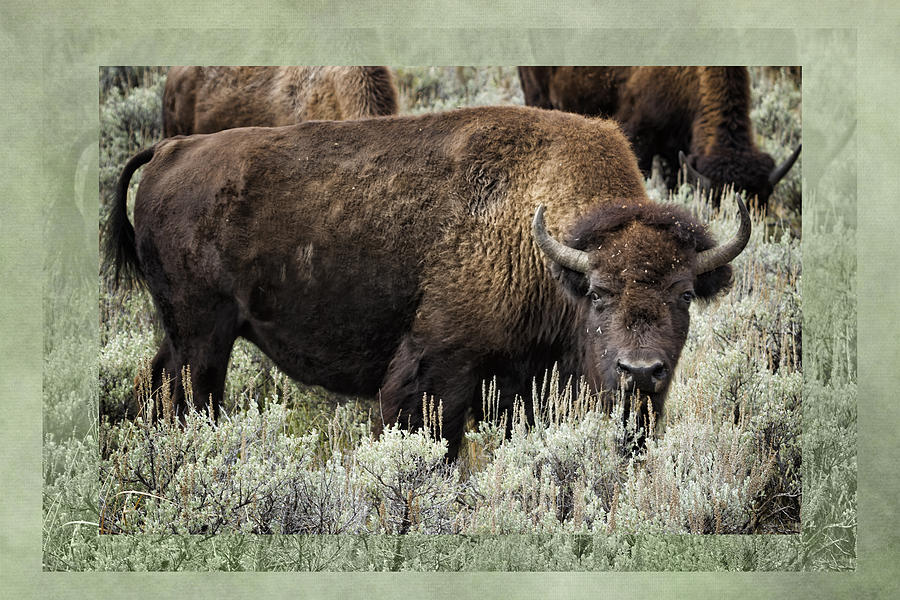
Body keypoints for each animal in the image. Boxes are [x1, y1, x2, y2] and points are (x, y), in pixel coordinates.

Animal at [105, 105, 752, 458]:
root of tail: (169, 148)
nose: (641, 374)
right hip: (204, 341)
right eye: (597, 294)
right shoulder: (435, 371)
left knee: (155, 386)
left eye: (685, 295)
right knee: (192, 397)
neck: (544, 251)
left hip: (182, 334)